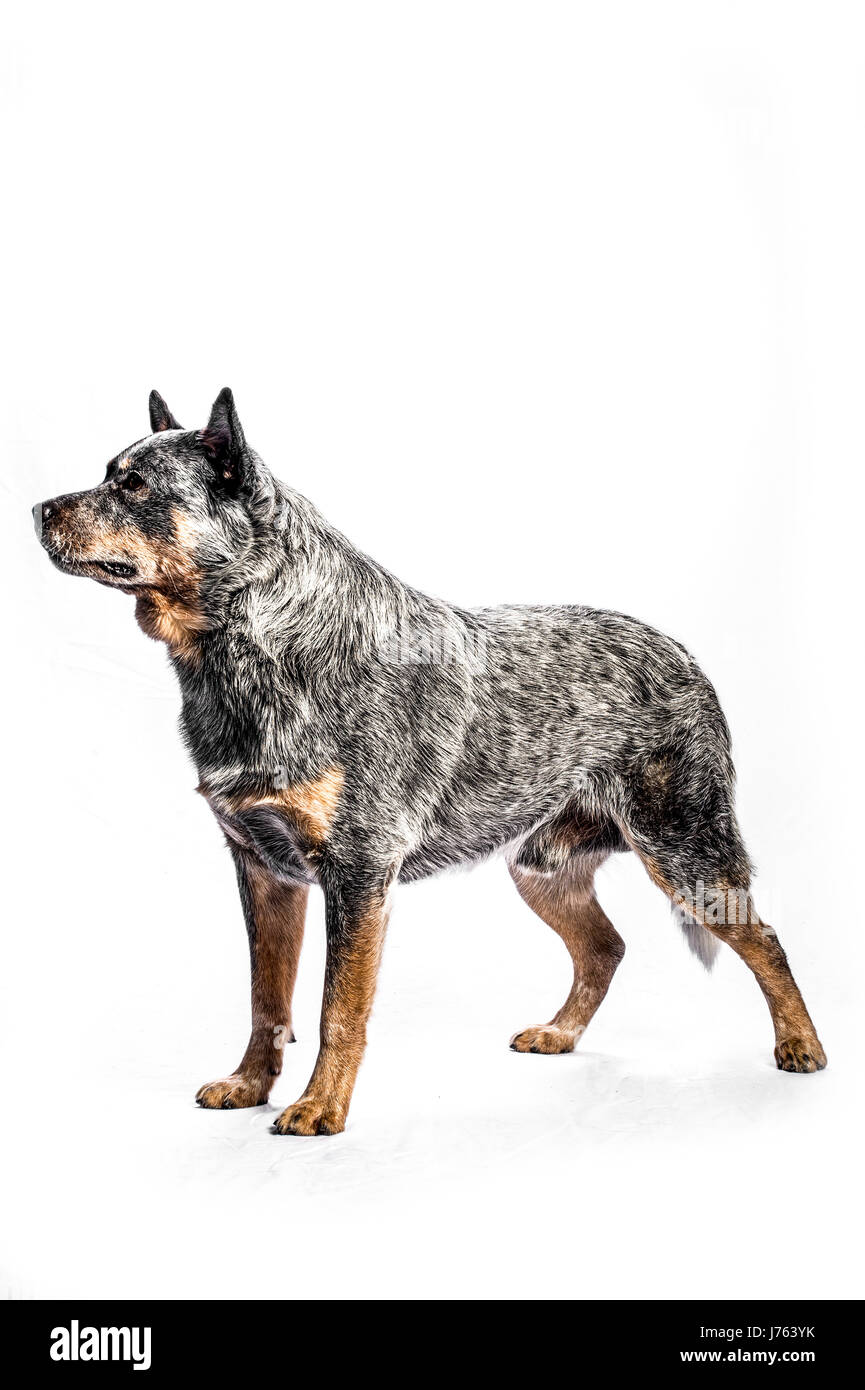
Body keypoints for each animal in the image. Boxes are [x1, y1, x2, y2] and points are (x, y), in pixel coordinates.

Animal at [32, 386, 828, 1134]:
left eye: (134, 486)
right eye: (108, 474)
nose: (38, 507)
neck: (252, 654)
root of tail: (682, 653)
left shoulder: (357, 873)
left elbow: (335, 1011)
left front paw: (320, 1109)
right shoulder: (262, 868)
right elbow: (267, 999)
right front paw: (251, 1085)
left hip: (685, 852)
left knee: (763, 938)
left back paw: (801, 1046)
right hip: (539, 868)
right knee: (605, 948)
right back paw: (561, 1034)